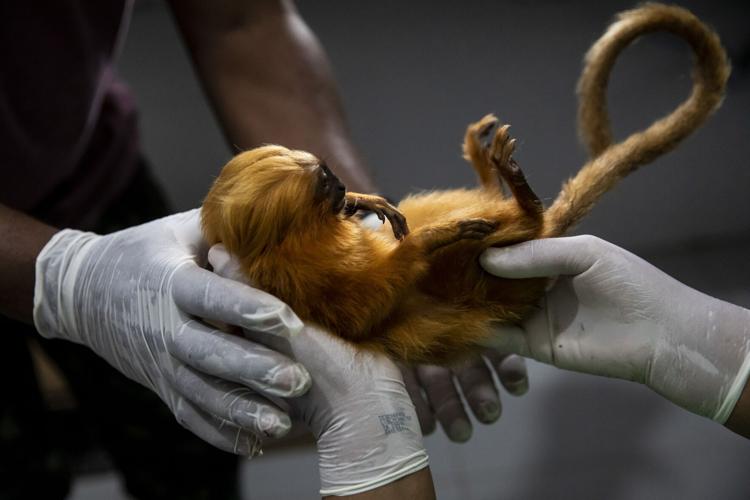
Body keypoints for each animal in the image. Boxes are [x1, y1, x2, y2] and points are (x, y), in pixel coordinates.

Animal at [201, 4, 730, 364]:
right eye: (325, 183)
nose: (341, 185)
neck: (305, 238)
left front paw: (364, 201)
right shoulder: (307, 283)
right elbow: (367, 312)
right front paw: (428, 240)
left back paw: (491, 170)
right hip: (497, 273)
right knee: (498, 240)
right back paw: (522, 198)